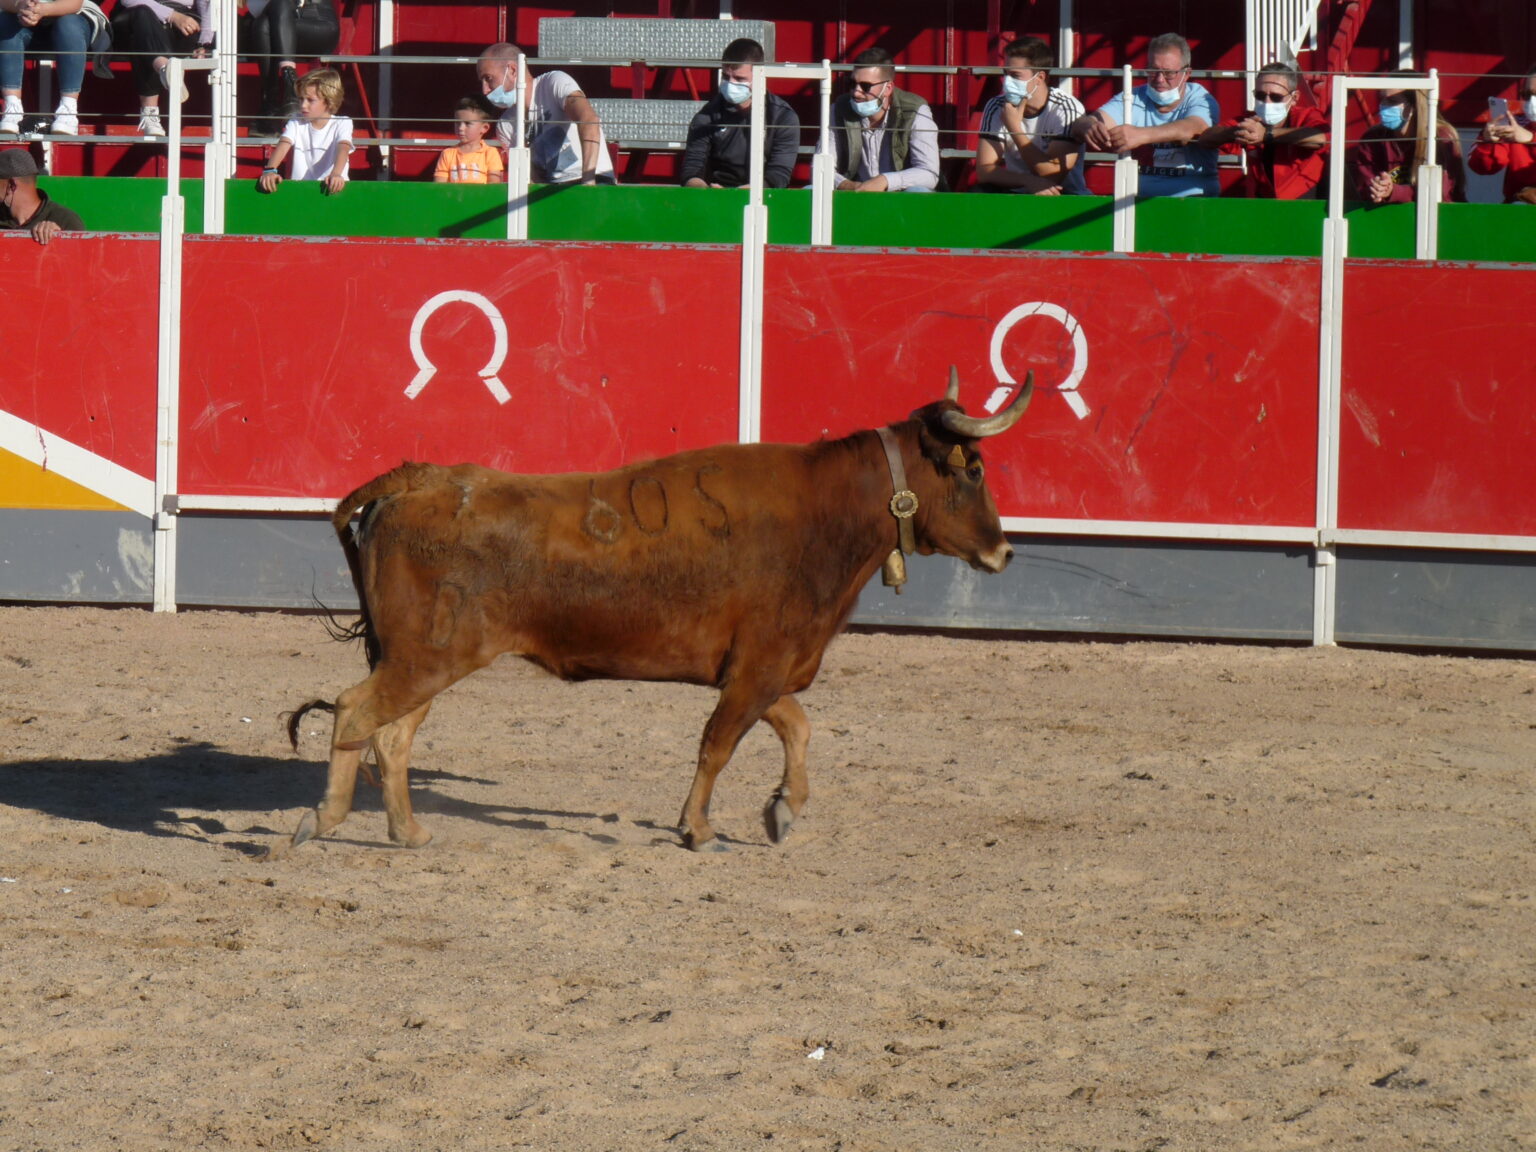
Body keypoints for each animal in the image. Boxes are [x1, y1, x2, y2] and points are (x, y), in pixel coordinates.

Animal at [284, 371, 1038, 860]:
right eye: (972, 471)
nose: (1004, 552)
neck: (826, 515)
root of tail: (420, 478)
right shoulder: (759, 666)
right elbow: (719, 744)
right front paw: (698, 830)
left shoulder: (760, 668)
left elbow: (796, 727)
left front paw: (782, 810)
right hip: (427, 658)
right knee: (355, 712)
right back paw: (324, 819)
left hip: (422, 660)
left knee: (391, 734)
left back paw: (407, 833)